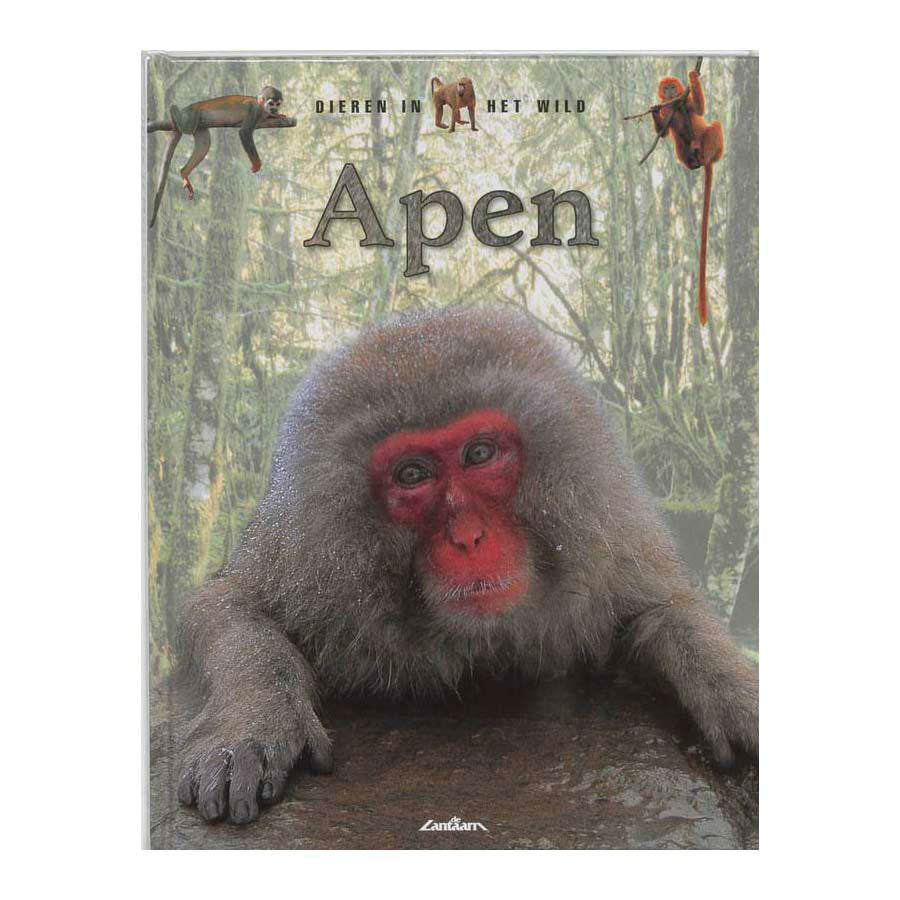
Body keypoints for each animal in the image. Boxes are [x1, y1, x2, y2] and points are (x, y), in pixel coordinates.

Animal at [147, 86, 286, 229]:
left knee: (204, 144)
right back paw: (174, 112)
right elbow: (244, 132)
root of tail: (190, 107)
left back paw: (184, 172)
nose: (274, 109)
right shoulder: (255, 111)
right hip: (191, 113)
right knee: (187, 128)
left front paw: (276, 115)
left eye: (277, 104)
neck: (262, 109)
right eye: (271, 103)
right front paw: (257, 163)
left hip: (199, 124)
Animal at [174, 307, 757, 825]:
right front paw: (252, 723)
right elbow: (223, 606)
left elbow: (659, 609)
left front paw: (733, 691)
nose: (468, 538)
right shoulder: (302, 556)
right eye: (412, 474)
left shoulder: (606, 534)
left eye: (479, 454)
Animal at [651, 70, 724, 326]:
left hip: (713, 144)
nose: (671, 92)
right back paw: (692, 161)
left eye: (673, 86)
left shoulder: (686, 102)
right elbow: (663, 133)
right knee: (676, 139)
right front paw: (654, 111)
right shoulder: (668, 110)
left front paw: (693, 76)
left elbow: (699, 110)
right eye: (666, 88)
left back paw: (701, 151)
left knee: (714, 125)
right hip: (683, 151)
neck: (675, 104)